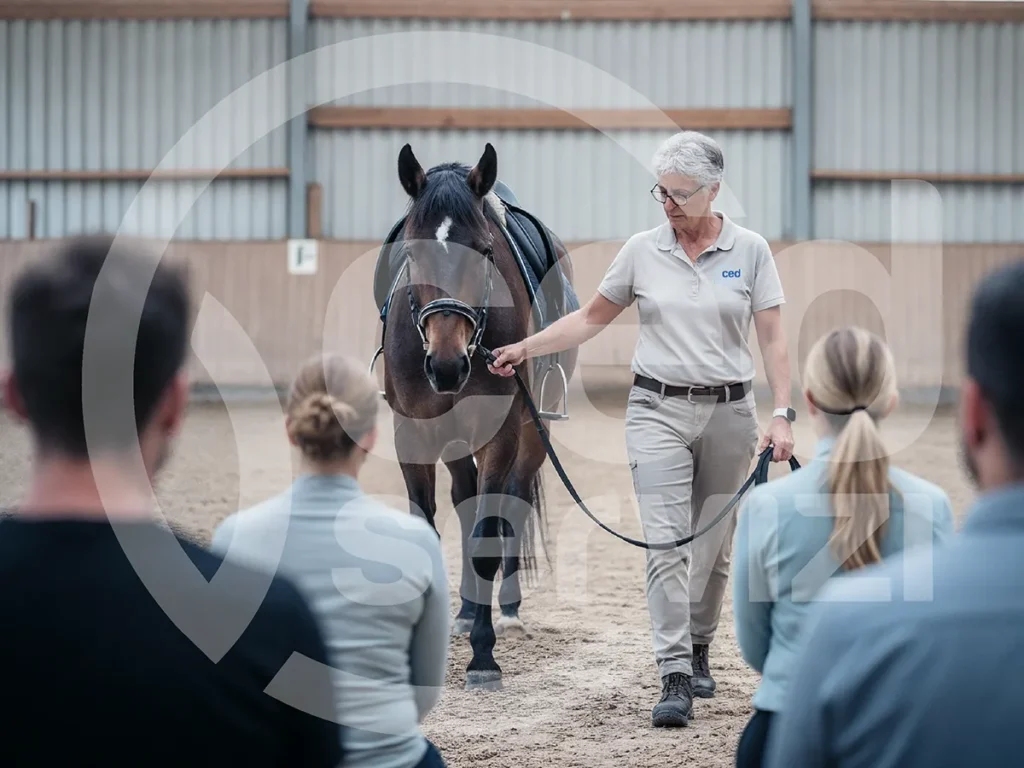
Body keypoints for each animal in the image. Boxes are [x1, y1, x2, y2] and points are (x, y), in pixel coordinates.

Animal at [377, 142, 579, 691]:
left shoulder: (502, 434)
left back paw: (504, 610)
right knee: (466, 501)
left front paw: (483, 658)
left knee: (511, 504)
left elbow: (488, 534)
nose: (447, 366)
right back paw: (468, 611)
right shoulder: (414, 435)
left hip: (532, 435)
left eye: (485, 252)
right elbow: (430, 528)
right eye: (412, 253)